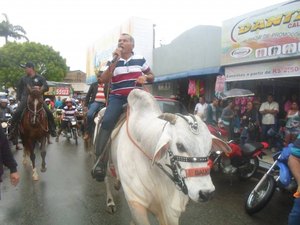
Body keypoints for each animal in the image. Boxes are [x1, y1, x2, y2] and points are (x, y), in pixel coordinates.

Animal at [104, 89, 231, 225]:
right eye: (180, 146)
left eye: (209, 148)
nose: (206, 193)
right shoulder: (136, 204)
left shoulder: (171, 212)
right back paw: (110, 202)